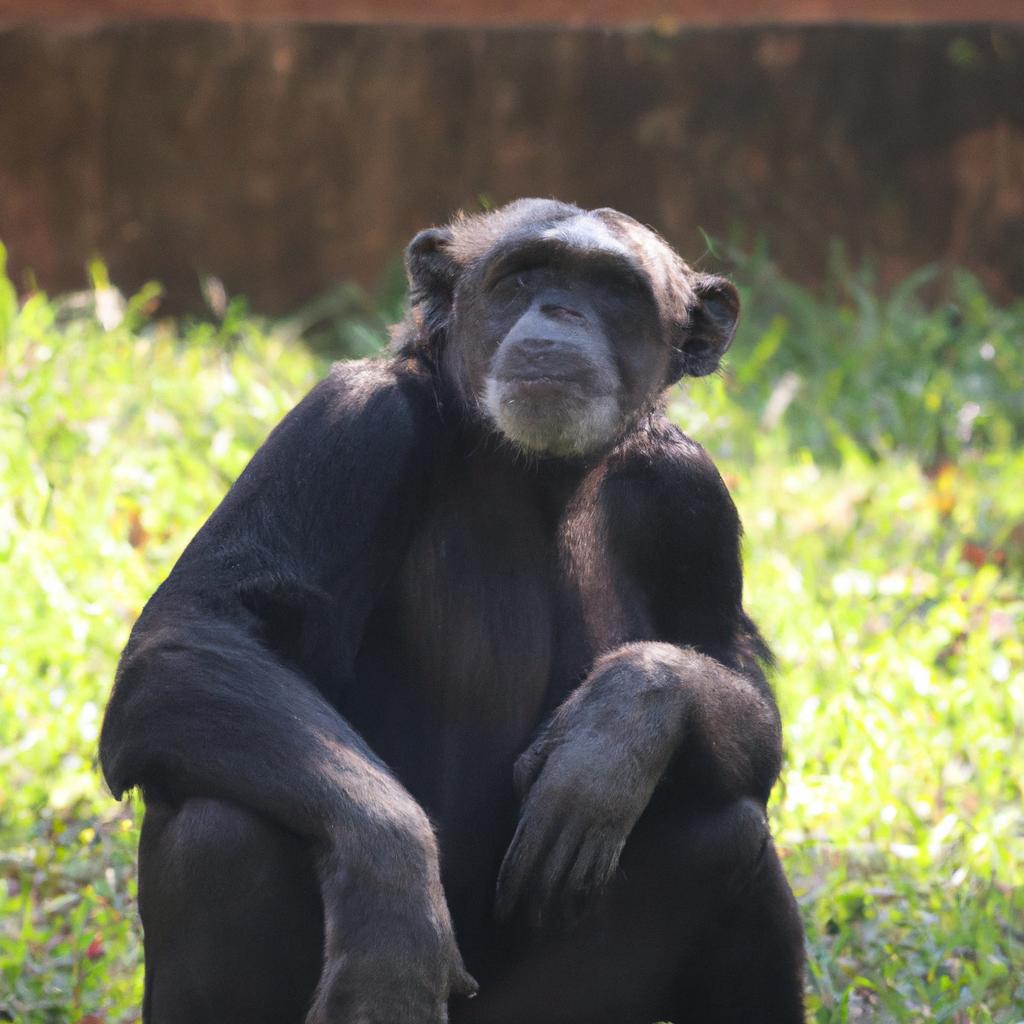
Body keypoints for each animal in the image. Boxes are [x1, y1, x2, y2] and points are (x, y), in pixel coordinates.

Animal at [103, 195, 806, 1019]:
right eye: (523, 276)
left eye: (613, 290)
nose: (559, 310)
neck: (536, 471)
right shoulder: (352, 420)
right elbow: (197, 629)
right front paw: (393, 890)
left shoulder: (693, 498)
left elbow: (741, 694)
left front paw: (623, 722)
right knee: (219, 829)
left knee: (733, 831)